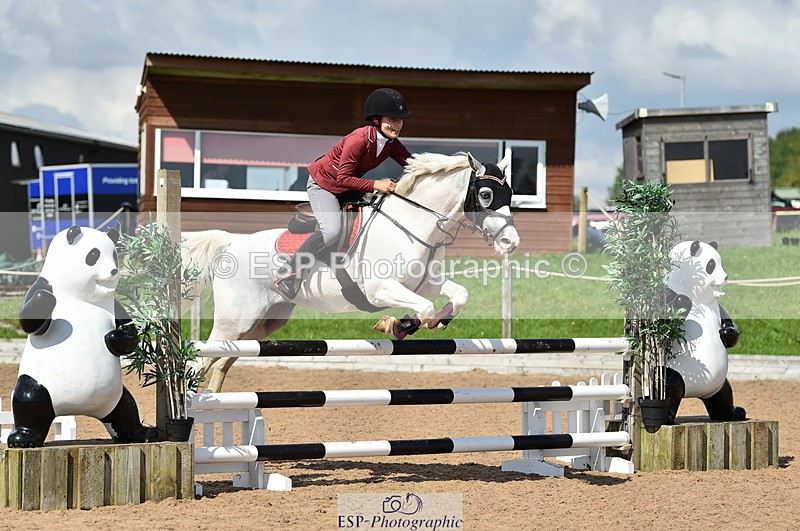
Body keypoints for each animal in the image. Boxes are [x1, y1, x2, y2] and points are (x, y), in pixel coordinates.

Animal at [183, 151, 520, 391]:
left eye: (510, 194)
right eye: (486, 195)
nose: (510, 242)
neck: (411, 225)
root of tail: (232, 243)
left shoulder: (424, 283)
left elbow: (457, 295)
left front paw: (432, 322)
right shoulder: (380, 289)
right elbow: (423, 308)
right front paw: (395, 325)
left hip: (263, 323)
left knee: (221, 363)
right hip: (234, 321)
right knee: (200, 362)